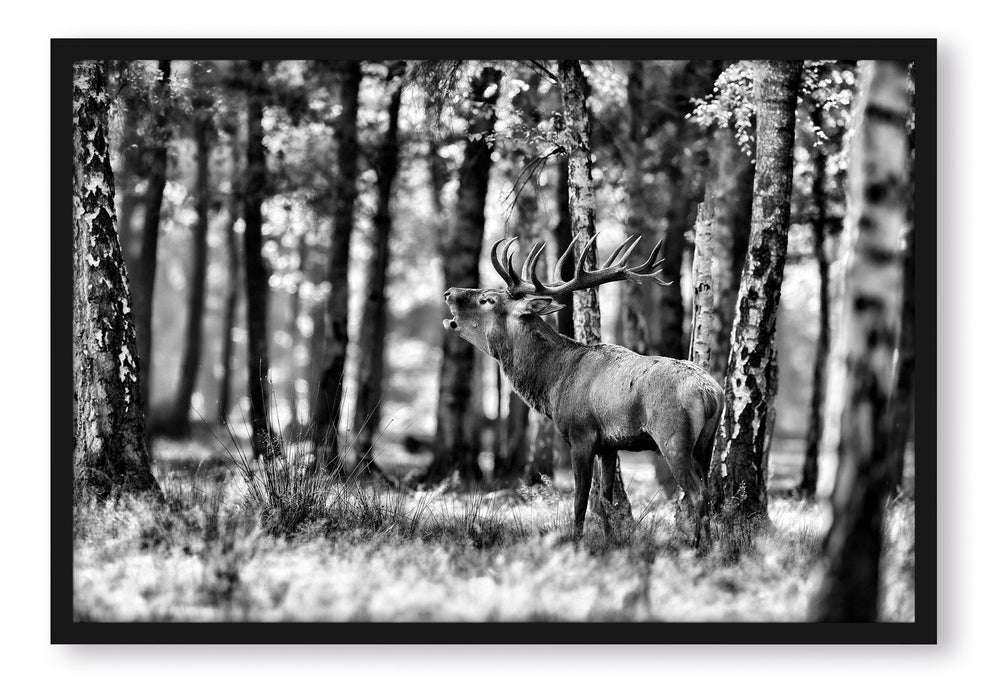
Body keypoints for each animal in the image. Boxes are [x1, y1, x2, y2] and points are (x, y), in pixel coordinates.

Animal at [446, 235, 724, 548]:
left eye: (488, 299)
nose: (449, 292)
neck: (553, 384)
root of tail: (710, 393)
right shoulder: (609, 445)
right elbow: (605, 500)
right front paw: (609, 541)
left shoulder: (580, 435)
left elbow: (580, 500)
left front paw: (576, 542)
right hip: (706, 442)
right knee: (707, 490)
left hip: (673, 436)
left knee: (698, 492)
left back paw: (702, 547)